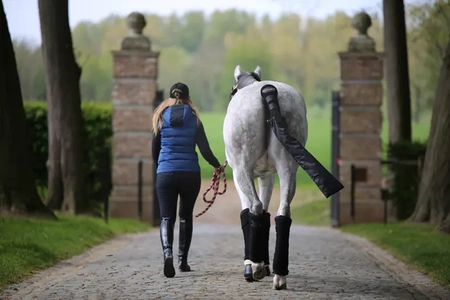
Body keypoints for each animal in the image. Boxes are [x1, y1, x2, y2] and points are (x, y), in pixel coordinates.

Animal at [223, 64, 308, 290]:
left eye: (232, 90)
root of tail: (268, 91)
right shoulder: (267, 177)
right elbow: (266, 216)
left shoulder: (240, 175)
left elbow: (248, 213)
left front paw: (252, 264)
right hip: (288, 168)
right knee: (282, 212)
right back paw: (279, 275)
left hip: (242, 169)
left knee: (255, 207)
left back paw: (256, 266)